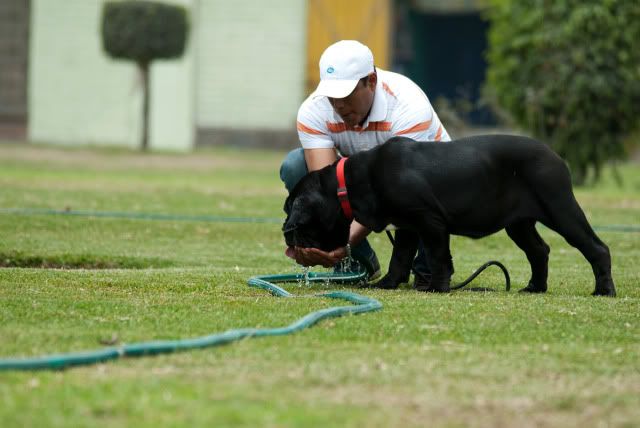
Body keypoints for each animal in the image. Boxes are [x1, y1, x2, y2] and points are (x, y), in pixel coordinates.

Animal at [282, 135, 616, 296]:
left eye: (290, 208)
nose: (286, 232)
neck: (348, 183)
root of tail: (556, 156)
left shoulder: (429, 221)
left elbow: (438, 256)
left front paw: (437, 288)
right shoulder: (407, 227)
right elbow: (399, 258)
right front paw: (387, 284)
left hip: (560, 209)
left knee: (596, 247)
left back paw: (603, 290)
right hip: (518, 224)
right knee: (539, 250)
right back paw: (535, 288)